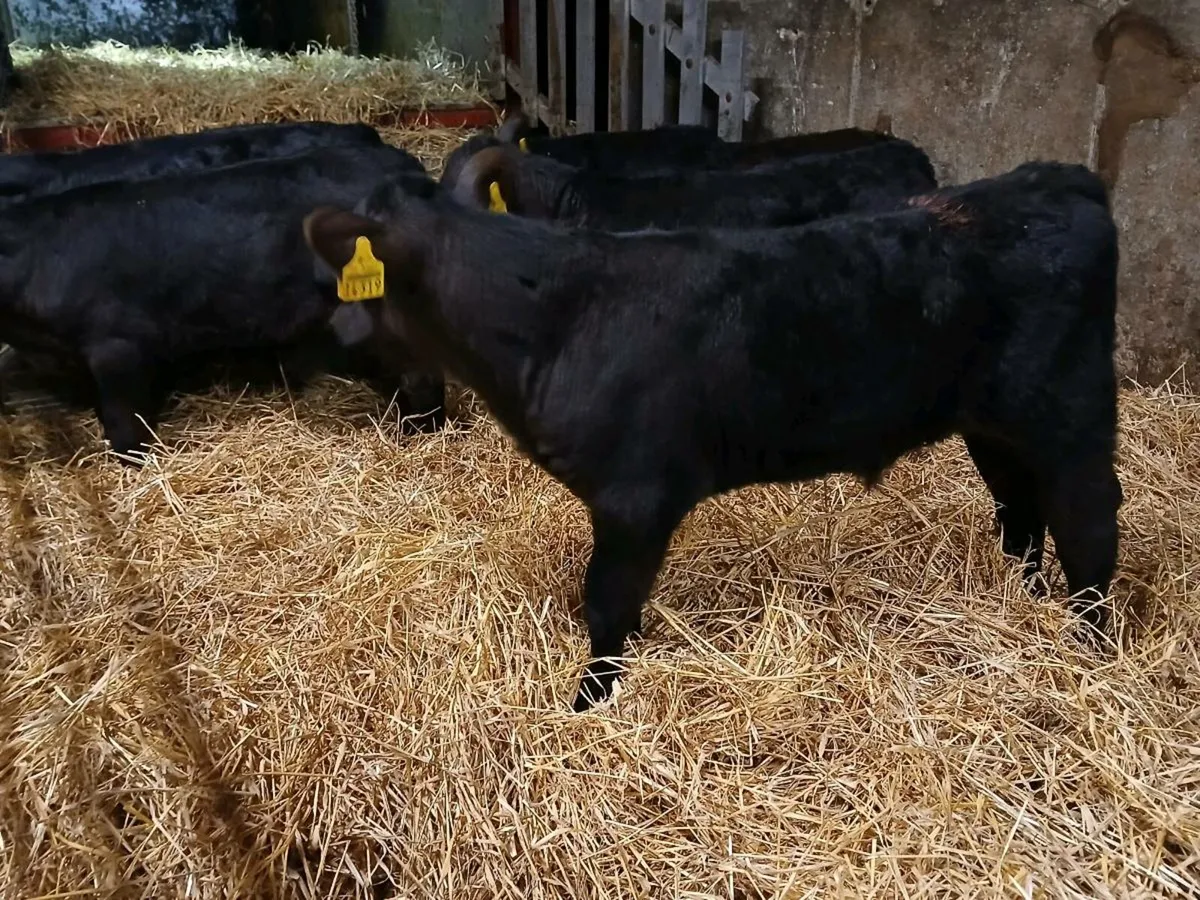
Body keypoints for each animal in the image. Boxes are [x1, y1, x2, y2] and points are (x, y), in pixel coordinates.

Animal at [303, 161, 1123, 712]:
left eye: (352, 273)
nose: (332, 328)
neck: (552, 319)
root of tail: (1059, 179)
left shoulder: (636, 497)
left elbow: (607, 606)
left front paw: (588, 705)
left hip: (1069, 408)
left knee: (1088, 521)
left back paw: (1090, 645)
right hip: (993, 424)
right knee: (1020, 511)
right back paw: (1021, 600)